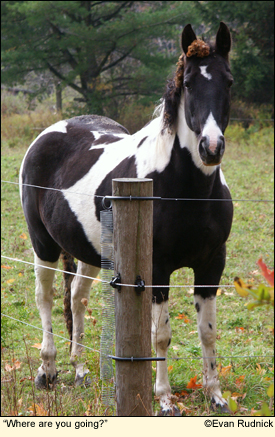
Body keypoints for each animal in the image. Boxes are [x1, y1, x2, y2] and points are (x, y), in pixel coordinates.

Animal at [19, 21, 235, 416]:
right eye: (188, 84)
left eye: (227, 81)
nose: (211, 148)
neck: (185, 188)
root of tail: (52, 131)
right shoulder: (157, 268)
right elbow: (160, 335)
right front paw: (163, 400)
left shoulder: (212, 264)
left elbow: (208, 331)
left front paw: (215, 395)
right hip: (42, 244)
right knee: (46, 297)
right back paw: (47, 371)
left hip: (90, 250)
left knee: (77, 297)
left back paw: (80, 370)